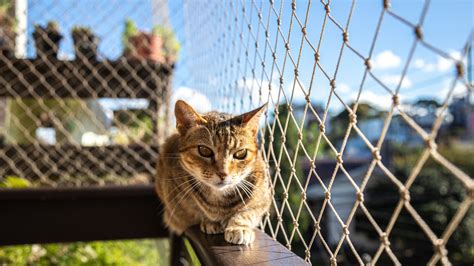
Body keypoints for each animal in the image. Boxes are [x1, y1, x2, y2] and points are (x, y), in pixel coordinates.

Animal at [156, 100, 270, 245]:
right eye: (204, 150)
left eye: (240, 153)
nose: (223, 173)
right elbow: (196, 212)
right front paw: (209, 222)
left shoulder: (263, 198)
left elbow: (248, 212)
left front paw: (239, 227)